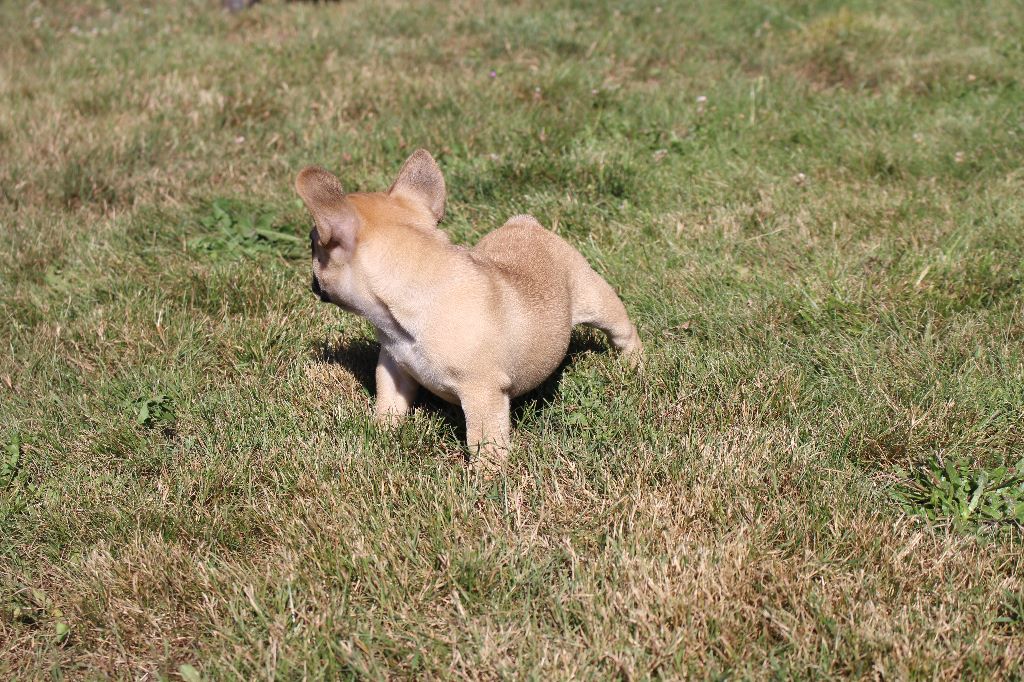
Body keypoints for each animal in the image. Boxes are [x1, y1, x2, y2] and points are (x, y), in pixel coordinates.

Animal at [297, 150, 642, 467]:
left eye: (313, 244)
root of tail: (526, 224)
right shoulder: (395, 366)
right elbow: (390, 401)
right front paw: (382, 432)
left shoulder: (482, 392)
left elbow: (484, 440)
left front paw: (486, 478)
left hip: (594, 297)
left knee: (622, 331)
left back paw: (633, 362)